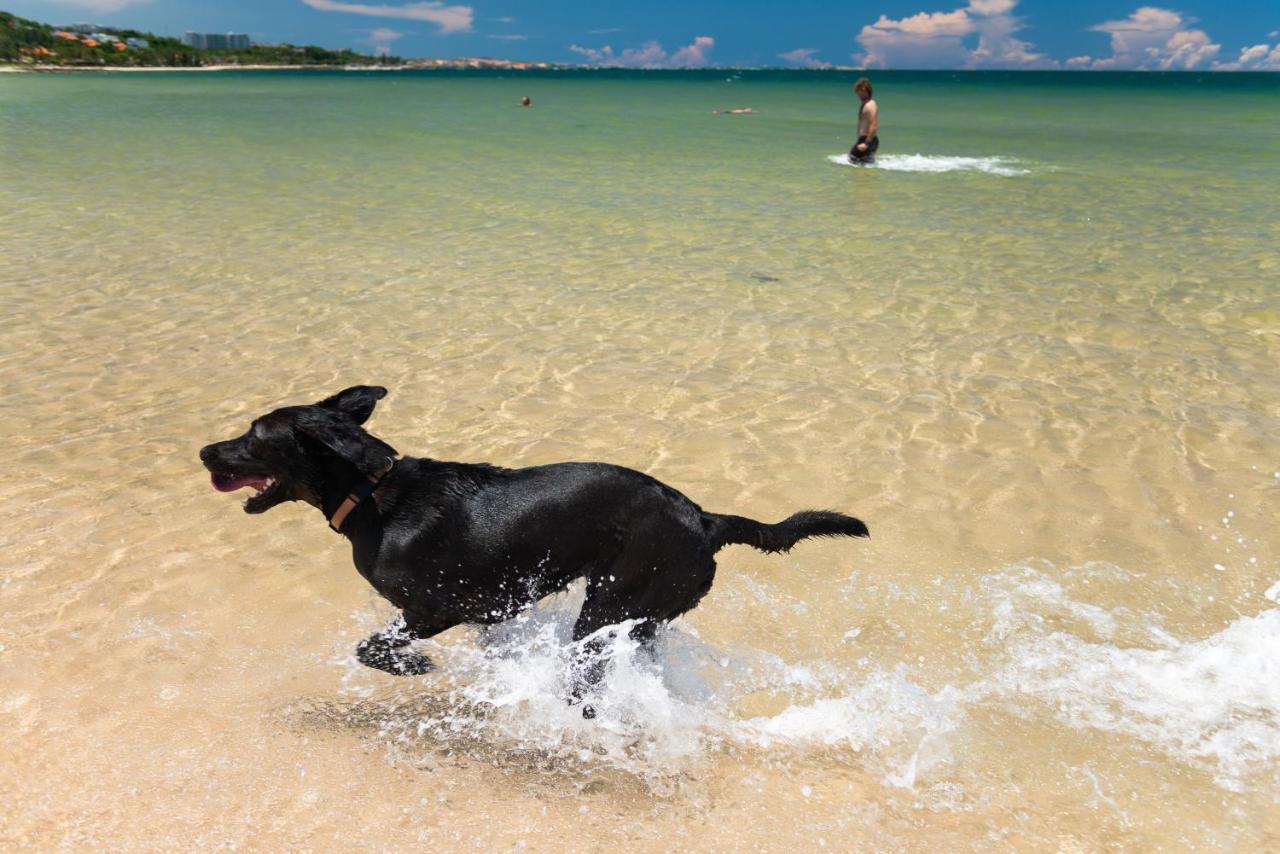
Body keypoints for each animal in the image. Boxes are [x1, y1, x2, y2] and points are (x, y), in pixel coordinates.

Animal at [199, 386, 870, 706]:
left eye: (255, 436)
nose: (205, 451)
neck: (371, 495)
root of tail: (705, 520)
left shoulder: (442, 607)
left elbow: (373, 646)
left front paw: (415, 667)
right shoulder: (491, 612)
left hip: (607, 608)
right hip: (641, 620)